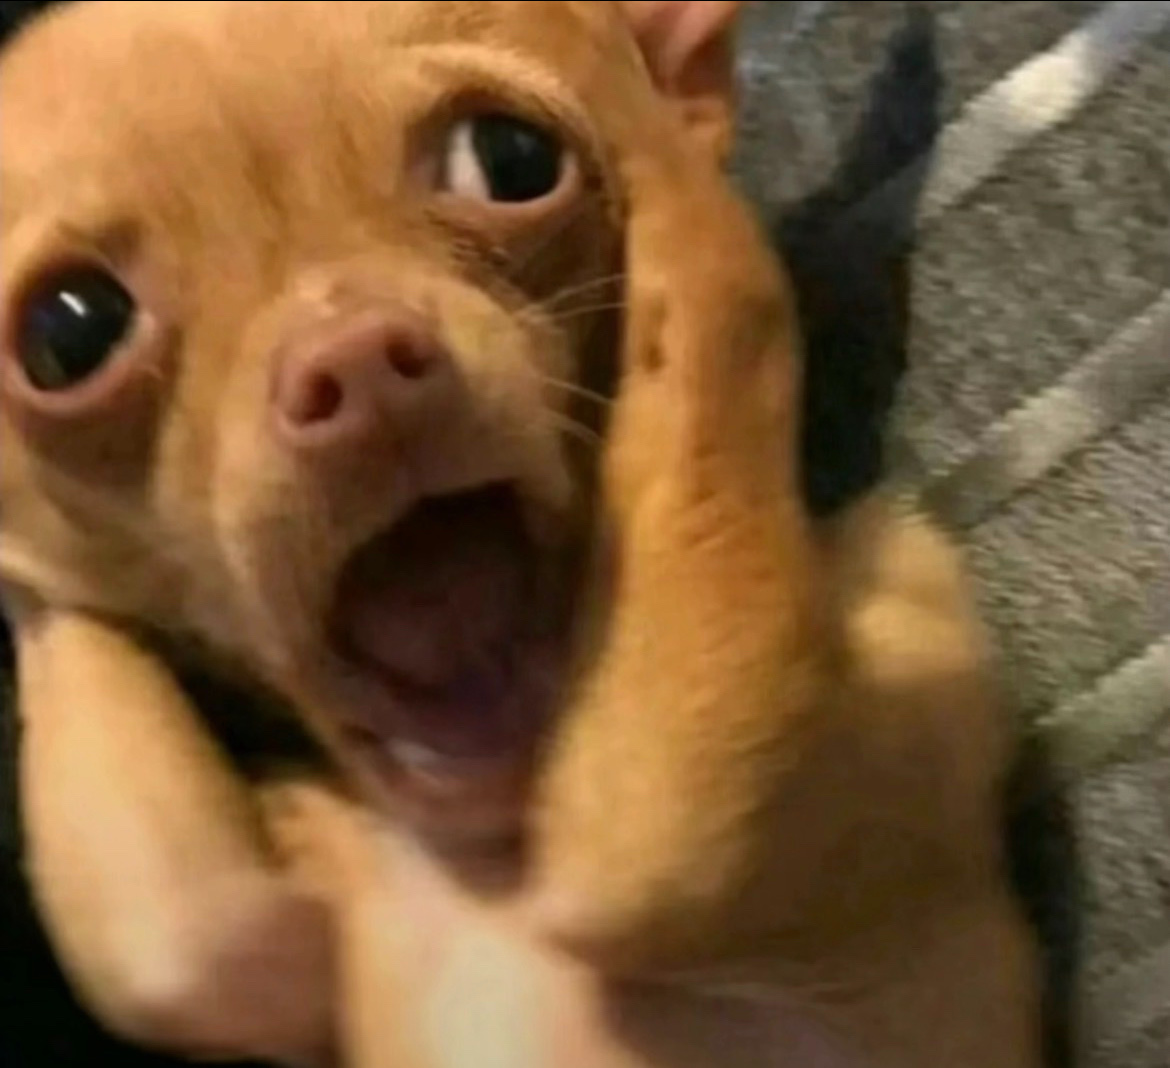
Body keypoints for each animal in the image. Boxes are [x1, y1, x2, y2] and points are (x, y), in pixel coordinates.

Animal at [0, 2, 1043, 1066]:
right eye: (68, 334)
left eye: (508, 160)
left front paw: (662, 160)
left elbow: (671, 850)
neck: (498, 860)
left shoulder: (883, 643)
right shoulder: (266, 950)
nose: (357, 360)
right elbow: (196, 948)